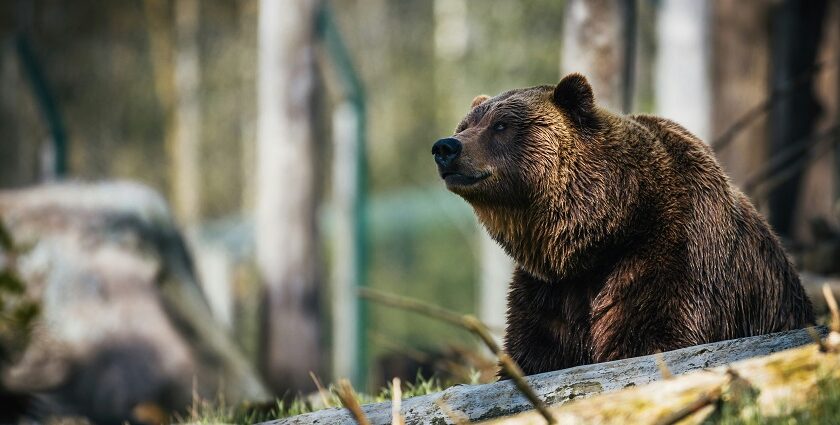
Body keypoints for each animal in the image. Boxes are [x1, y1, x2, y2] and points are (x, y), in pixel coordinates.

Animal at [434, 73, 812, 374]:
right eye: (465, 126)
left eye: (501, 125)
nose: (445, 147)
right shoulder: (550, 289)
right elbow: (535, 351)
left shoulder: (672, 253)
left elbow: (653, 335)